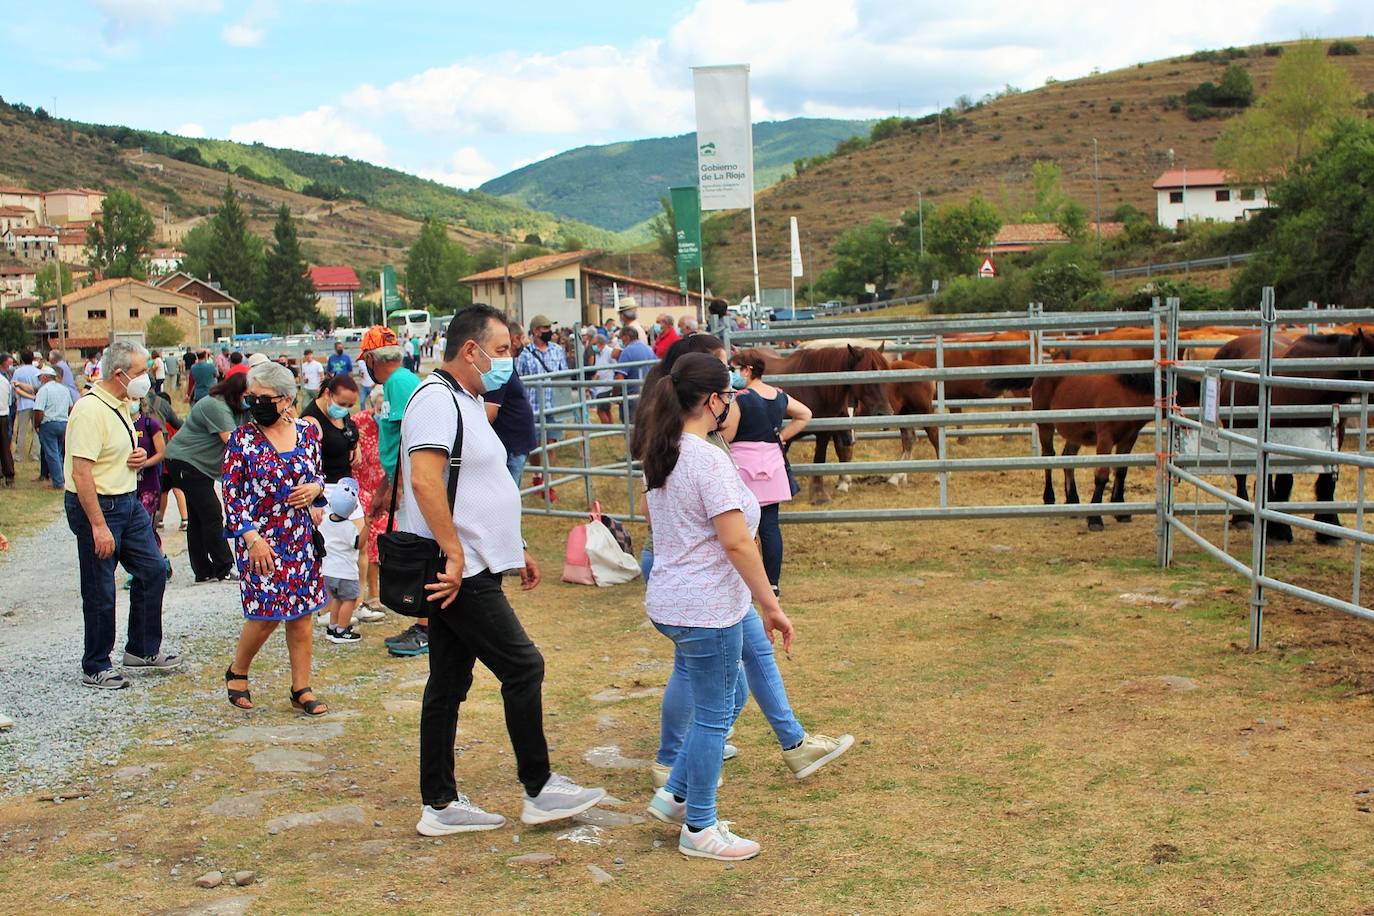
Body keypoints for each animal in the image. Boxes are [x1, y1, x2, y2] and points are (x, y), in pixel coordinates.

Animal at [736, 343, 895, 505]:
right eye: (866, 376)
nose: (886, 413)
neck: (814, 390)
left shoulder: (824, 432)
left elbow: (819, 458)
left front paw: (819, 495)